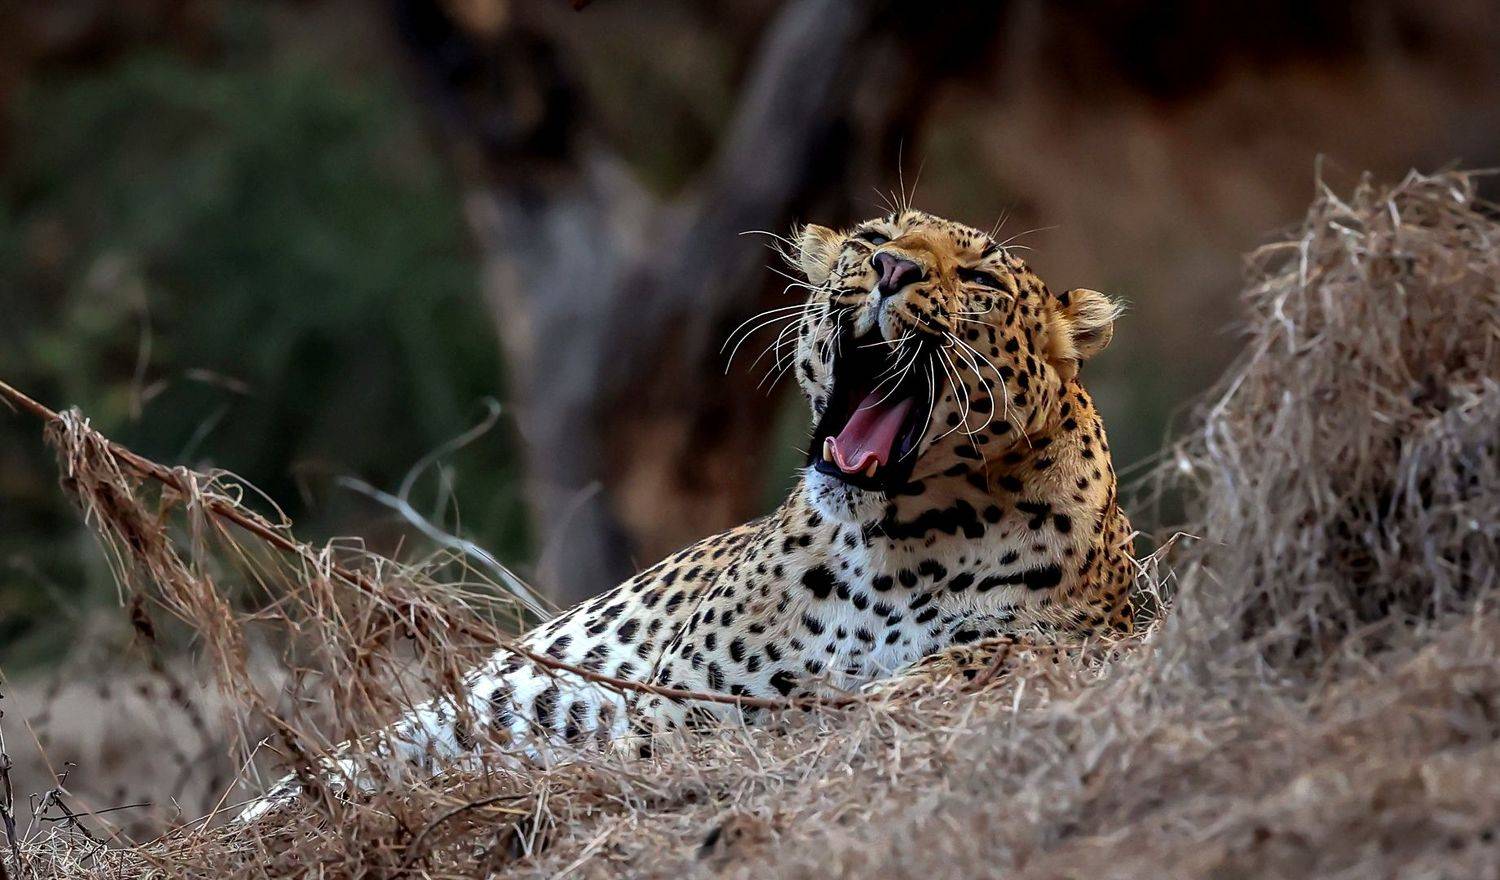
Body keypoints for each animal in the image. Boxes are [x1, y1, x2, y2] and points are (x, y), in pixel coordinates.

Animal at [238, 209, 1135, 820]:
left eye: (981, 281)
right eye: (873, 235)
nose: (888, 269)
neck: (897, 546)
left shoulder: (1084, 633)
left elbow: (987, 658)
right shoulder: (679, 711)